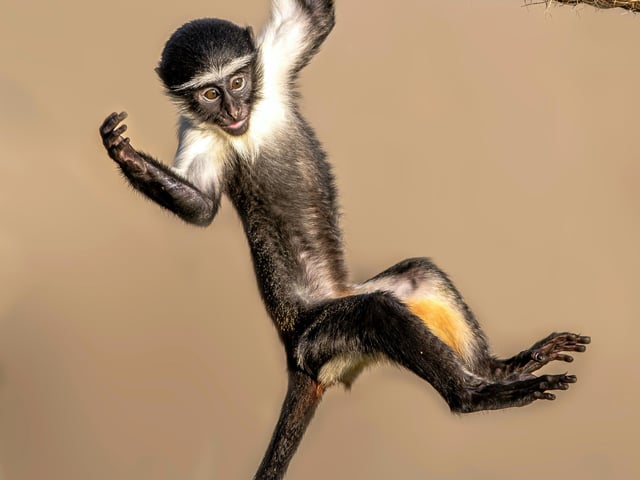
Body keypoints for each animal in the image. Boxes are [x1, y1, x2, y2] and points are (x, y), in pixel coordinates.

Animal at [99, 1, 590, 478]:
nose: (233, 112)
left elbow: (317, 15)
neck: (248, 121)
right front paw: (123, 153)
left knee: (421, 274)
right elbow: (200, 208)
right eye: (209, 93)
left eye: (237, 81)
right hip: (322, 340)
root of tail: (294, 356)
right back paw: (476, 396)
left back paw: (501, 368)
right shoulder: (198, 132)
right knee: (375, 313)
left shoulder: (270, 62)